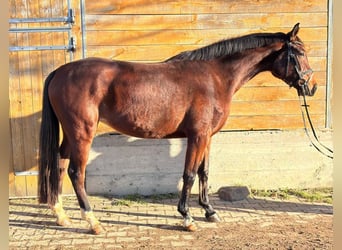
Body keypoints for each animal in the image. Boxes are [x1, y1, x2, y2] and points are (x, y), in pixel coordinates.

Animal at [38, 23, 316, 234]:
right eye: (300, 53)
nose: (311, 87)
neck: (215, 77)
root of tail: (60, 71)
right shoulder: (197, 136)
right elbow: (189, 174)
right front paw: (187, 217)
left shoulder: (207, 137)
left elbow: (204, 172)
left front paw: (210, 211)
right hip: (82, 132)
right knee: (75, 172)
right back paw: (93, 222)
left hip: (70, 133)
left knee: (60, 163)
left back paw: (61, 215)